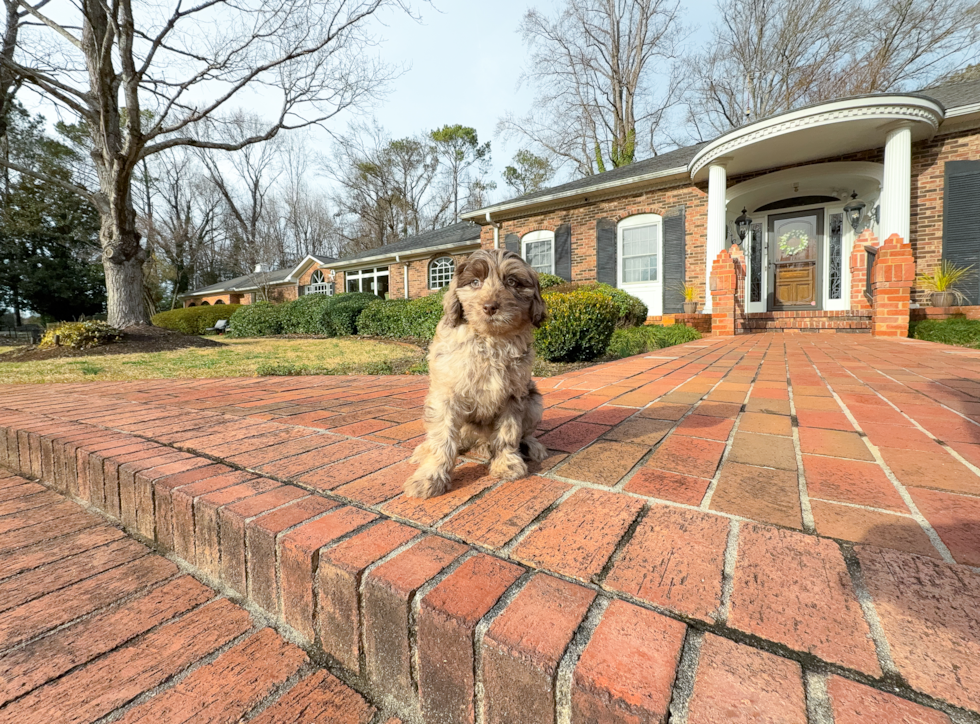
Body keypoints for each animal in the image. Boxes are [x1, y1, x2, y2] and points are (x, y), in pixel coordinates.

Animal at [402, 249, 548, 498]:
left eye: (512, 282)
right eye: (474, 282)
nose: (490, 307)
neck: (489, 339)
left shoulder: (514, 394)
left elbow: (508, 432)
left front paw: (507, 463)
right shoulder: (445, 395)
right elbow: (442, 437)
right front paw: (430, 477)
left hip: (534, 400)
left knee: (525, 433)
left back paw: (532, 446)